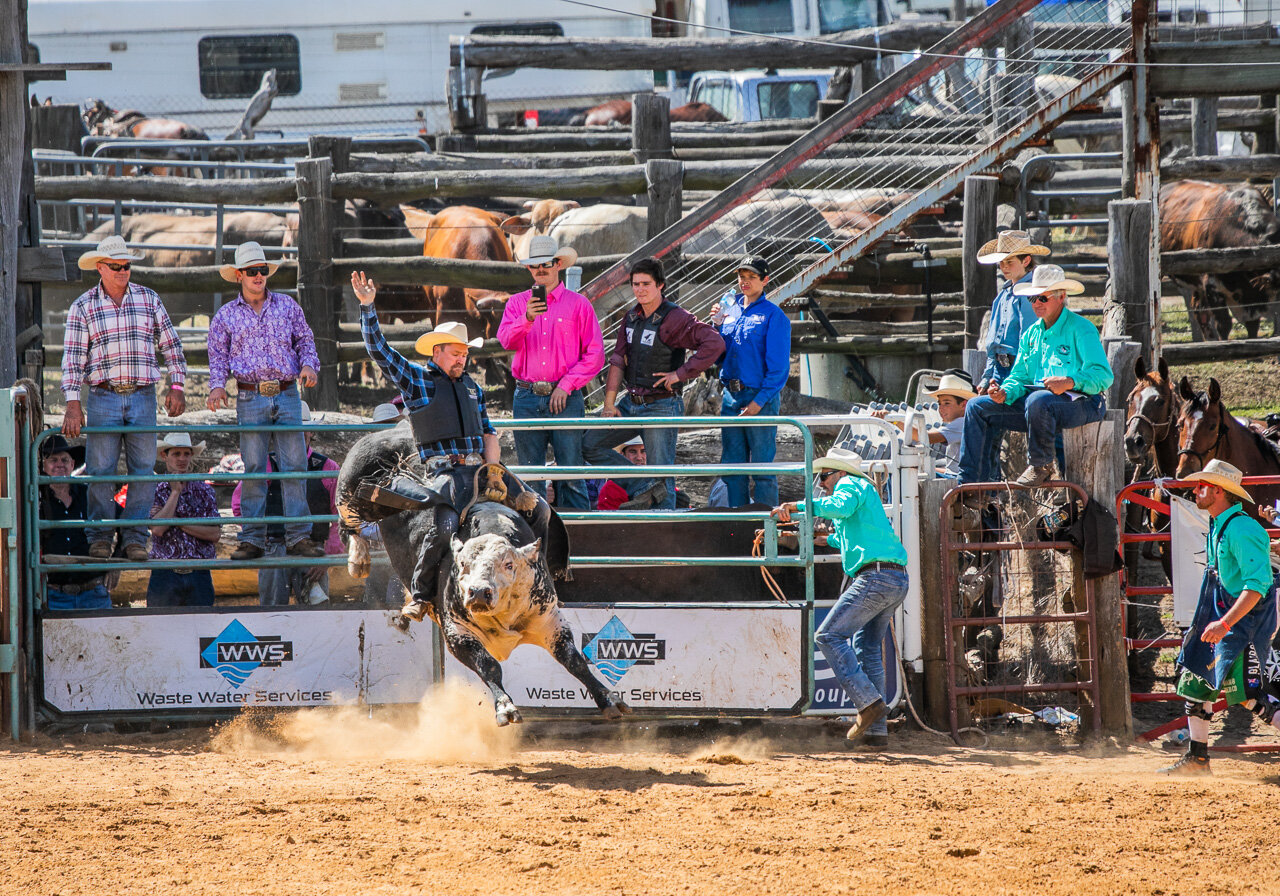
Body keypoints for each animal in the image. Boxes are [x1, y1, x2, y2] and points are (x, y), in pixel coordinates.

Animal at [332, 422, 627, 727]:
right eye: (461, 564)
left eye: (508, 564)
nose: (478, 593)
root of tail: (398, 429)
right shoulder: (456, 634)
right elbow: (489, 666)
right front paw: (505, 708)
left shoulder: (549, 620)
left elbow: (575, 661)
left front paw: (609, 699)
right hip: (350, 486)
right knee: (348, 523)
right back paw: (358, 560)